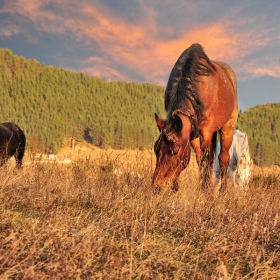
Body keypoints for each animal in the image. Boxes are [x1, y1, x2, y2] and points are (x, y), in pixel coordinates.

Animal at [152, 43, 237, 192]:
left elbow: (206, 159)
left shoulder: (206, 131)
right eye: (156, 149)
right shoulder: (193, 134)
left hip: (227, 129)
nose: (156, 186)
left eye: (175, 152)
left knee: (223, 158)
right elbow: (199, 159)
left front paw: (205, 189)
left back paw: (222, 190)